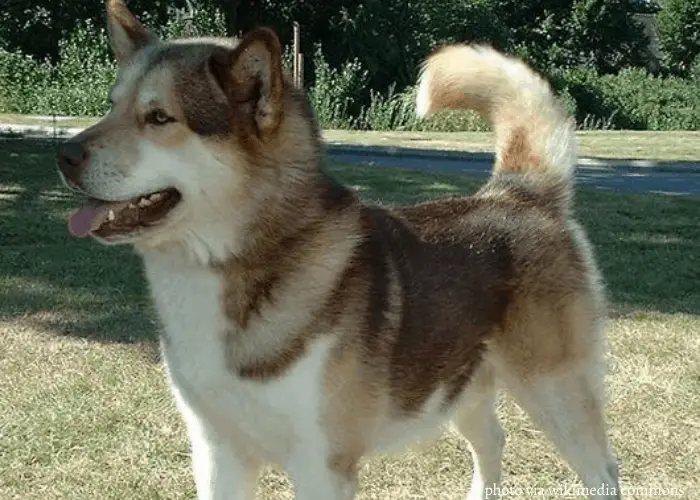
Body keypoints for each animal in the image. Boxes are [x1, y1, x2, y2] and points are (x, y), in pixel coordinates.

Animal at [56, 0, 624, 500]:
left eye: (158, 117)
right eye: (111, 106)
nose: (62, 153)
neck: (235, 264)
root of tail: (516, 192)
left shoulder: (321, 465)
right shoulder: (216, 451)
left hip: (557, 394)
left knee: (604, 470)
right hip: (460, 391)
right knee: (493, 443)